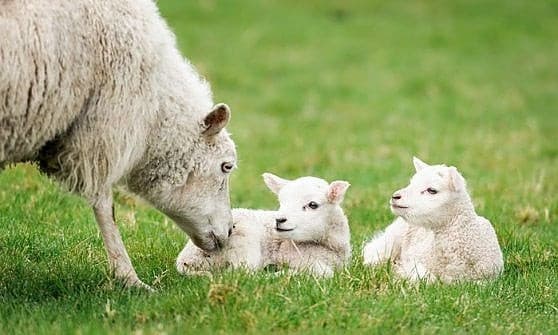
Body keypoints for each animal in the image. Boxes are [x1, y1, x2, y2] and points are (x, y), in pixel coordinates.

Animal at [0, 0, 238, 290]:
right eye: (226, 166)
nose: (230, 230)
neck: (153, 108)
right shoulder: (103, 128)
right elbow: (104, 205)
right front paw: (129, 278)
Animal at [175, 173, 352, 278]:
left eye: (313, 205)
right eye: (281, 202)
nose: (279, 220)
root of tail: (185, 260)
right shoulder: (293, 255)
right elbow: (325, 272)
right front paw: (288, 271)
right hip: (245, 240)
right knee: (241, 274)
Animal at [366, 158, 506, 284]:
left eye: (432, 190)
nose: (395, 196)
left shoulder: (487, 278)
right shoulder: (416, 260)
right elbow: (427, 278)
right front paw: (399, 271)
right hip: (391, 239)